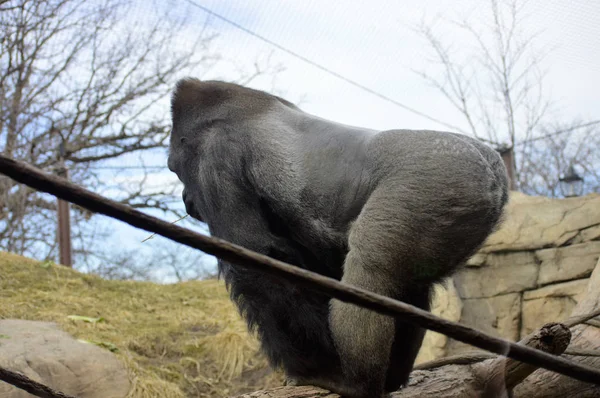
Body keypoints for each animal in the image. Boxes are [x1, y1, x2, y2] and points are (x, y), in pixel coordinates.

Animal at [166, 78, 508, 398]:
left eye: (173, 168)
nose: (185, 200)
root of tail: (493, 167)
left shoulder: (212, 155)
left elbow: (258, 258)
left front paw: (314, 368)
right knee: (410, 283)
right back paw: (392, 378)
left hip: (438, 180)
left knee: (371, 275)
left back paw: (356, 382)